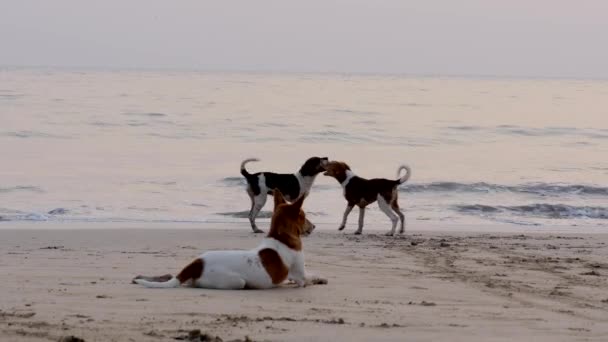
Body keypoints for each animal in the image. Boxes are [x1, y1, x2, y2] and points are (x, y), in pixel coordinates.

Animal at [131, 190, 326, 288]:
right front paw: (319, 278)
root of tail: (196, 264)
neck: (281, 237)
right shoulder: (300, 277)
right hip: (237, 282)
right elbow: (309, 277)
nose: (315, 227)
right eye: (304, 216)